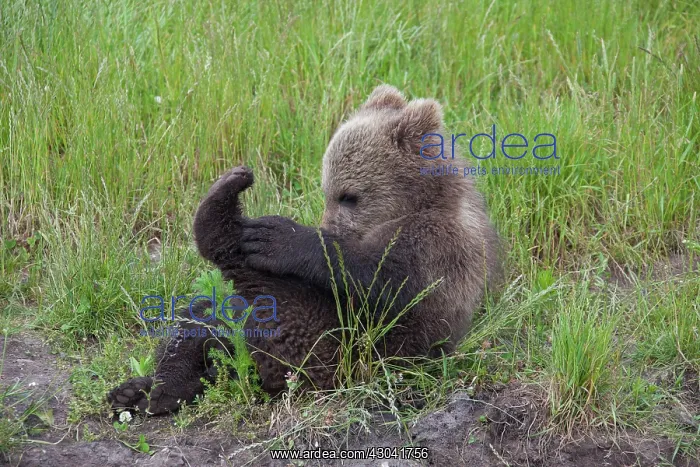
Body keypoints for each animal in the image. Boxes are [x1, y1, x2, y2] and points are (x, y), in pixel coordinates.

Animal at [107, 85, 501, 415]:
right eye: (327, 190)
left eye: (349, 196)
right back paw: (146, 389)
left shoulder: (435, 245)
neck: (422, 202)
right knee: (205, 318)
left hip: (326, 350)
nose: (329, 226)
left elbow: (383, 279)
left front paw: (278, 237)